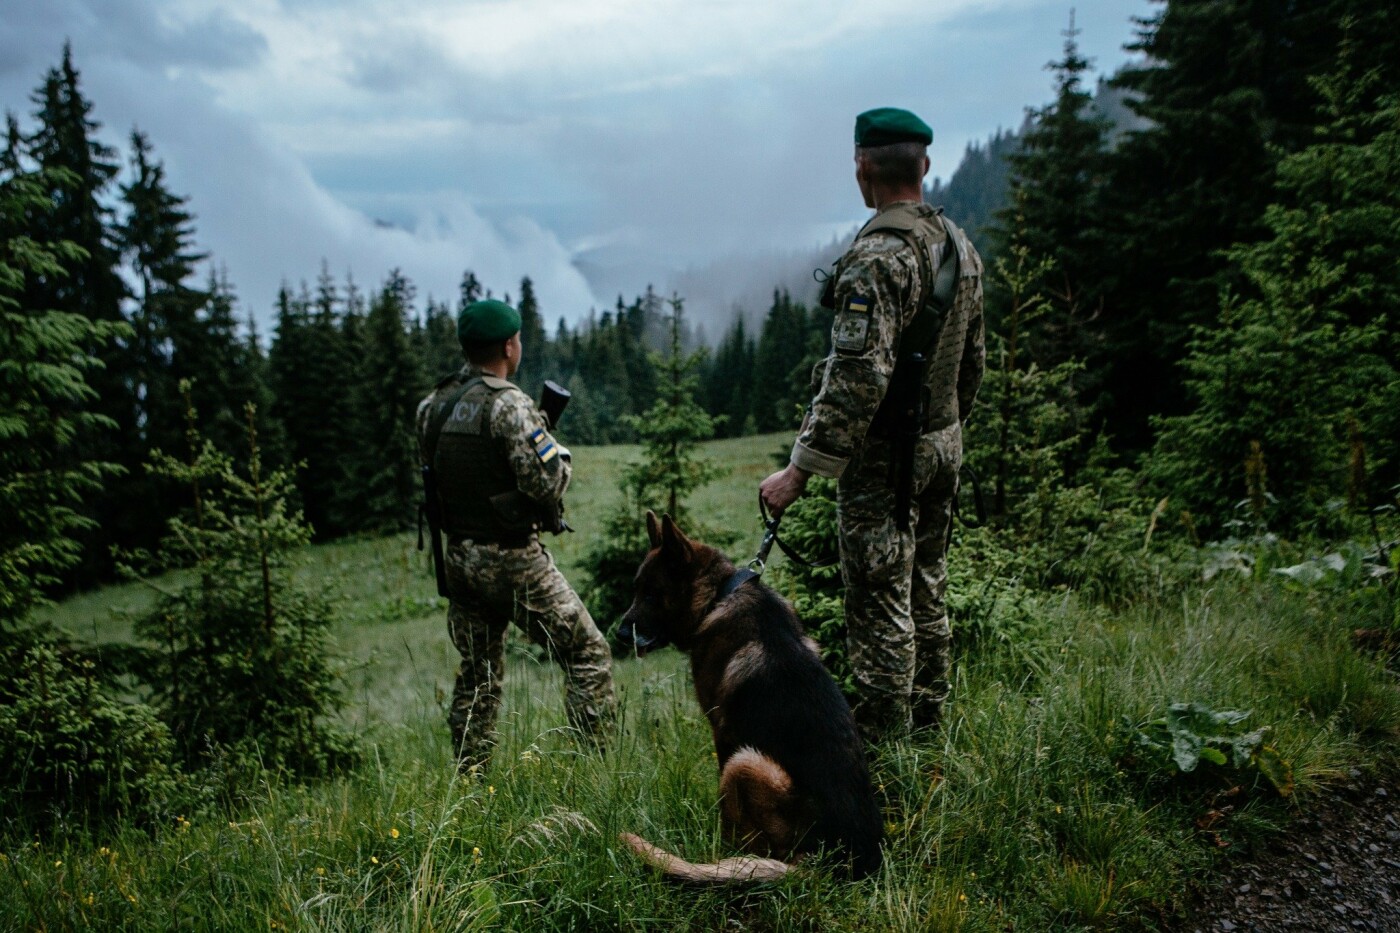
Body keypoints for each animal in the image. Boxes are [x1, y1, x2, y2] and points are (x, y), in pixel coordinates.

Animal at [618, 509, 879, 879]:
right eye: (636, 590)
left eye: (652, 595)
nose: (620, 634)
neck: (719, 595)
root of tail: (834, 862)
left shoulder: (722, 736)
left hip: (746, 763)